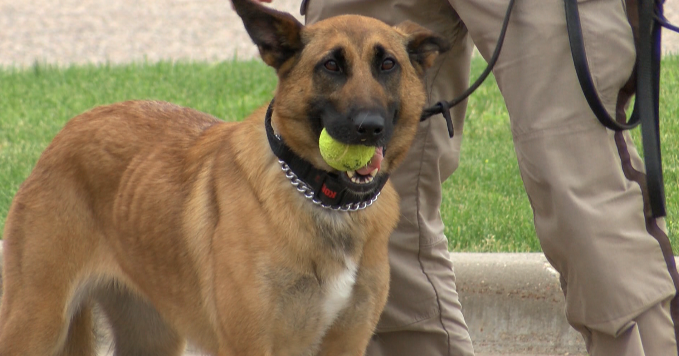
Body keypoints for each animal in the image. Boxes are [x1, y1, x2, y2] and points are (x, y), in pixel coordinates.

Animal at [0, 1, 448, 354]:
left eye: (387, 64)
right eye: (331, 65)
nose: (369, 128)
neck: (320, 197)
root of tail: (67, 130)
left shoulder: (347, 343)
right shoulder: (250, 345)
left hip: (150, 336)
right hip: (36, 323)